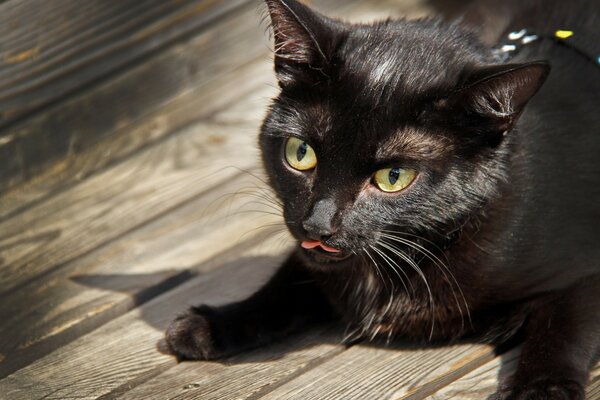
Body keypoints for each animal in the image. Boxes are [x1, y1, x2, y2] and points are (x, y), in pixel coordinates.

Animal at [166, 1, 600, 398]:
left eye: (393, 177)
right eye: (300, 153)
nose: (318, 223)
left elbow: (563, 329)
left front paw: (543, 390)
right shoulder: (312, 257)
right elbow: (288, 280)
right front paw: (213, 325)